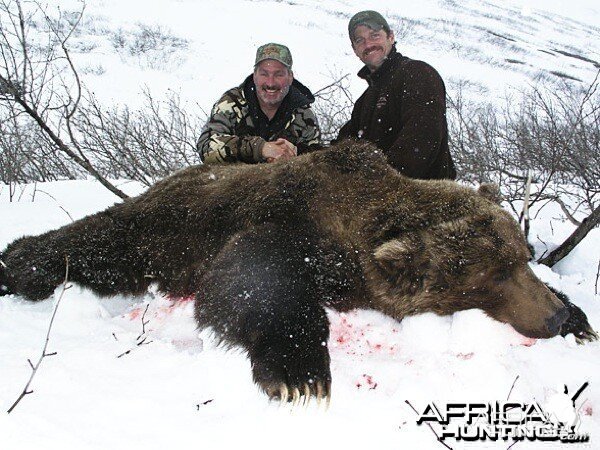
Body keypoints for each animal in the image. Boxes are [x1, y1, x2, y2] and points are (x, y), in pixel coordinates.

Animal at [0, 139, 596, 402]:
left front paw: (580, 319)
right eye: (489, 277)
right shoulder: (286, 220)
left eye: (520, 258)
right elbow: (254, 279)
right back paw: (19, 263)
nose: (548, 319)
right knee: (98, 241)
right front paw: (300, 372)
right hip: (165, 227)